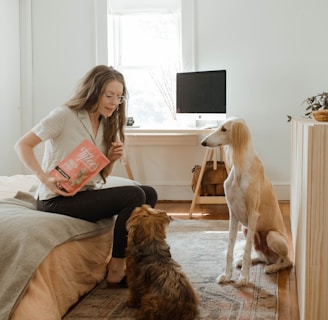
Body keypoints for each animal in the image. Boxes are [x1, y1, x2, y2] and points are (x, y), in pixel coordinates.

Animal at [201, 116, 294, 286]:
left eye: (224, 129)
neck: (240, 170)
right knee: (263, 257)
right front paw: (227, 275)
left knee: (287, 261)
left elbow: (246, 250)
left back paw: (273, 268)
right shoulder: (233, 214)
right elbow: (230, 249)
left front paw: (243, 278)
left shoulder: (252, 215)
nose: (203, 142)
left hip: (273, 236)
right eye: (218, 127)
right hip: (245, 230)